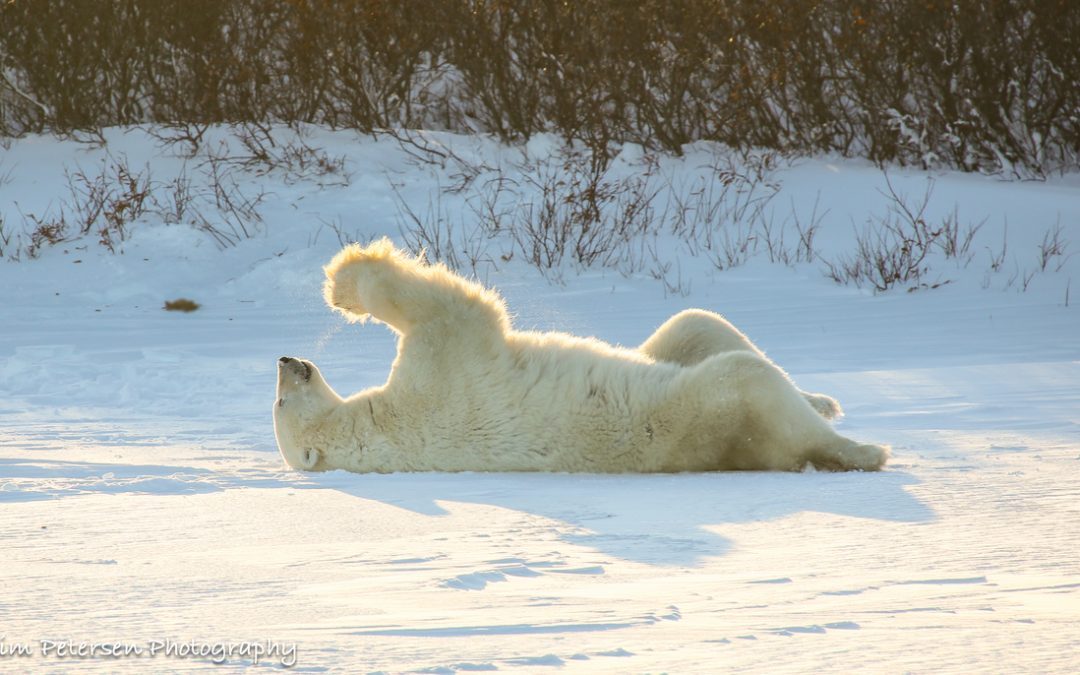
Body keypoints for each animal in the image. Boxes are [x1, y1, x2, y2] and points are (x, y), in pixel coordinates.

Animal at [273, 238, 888, 473]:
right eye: (278, 406)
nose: (285, 361)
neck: (379, 434)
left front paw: (338, 291)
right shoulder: (440, 375)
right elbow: (449, 307)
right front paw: (347, 280)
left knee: (692, 323)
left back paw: (824, 399)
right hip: (708, 411)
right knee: (750, 381)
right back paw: (863, 449)